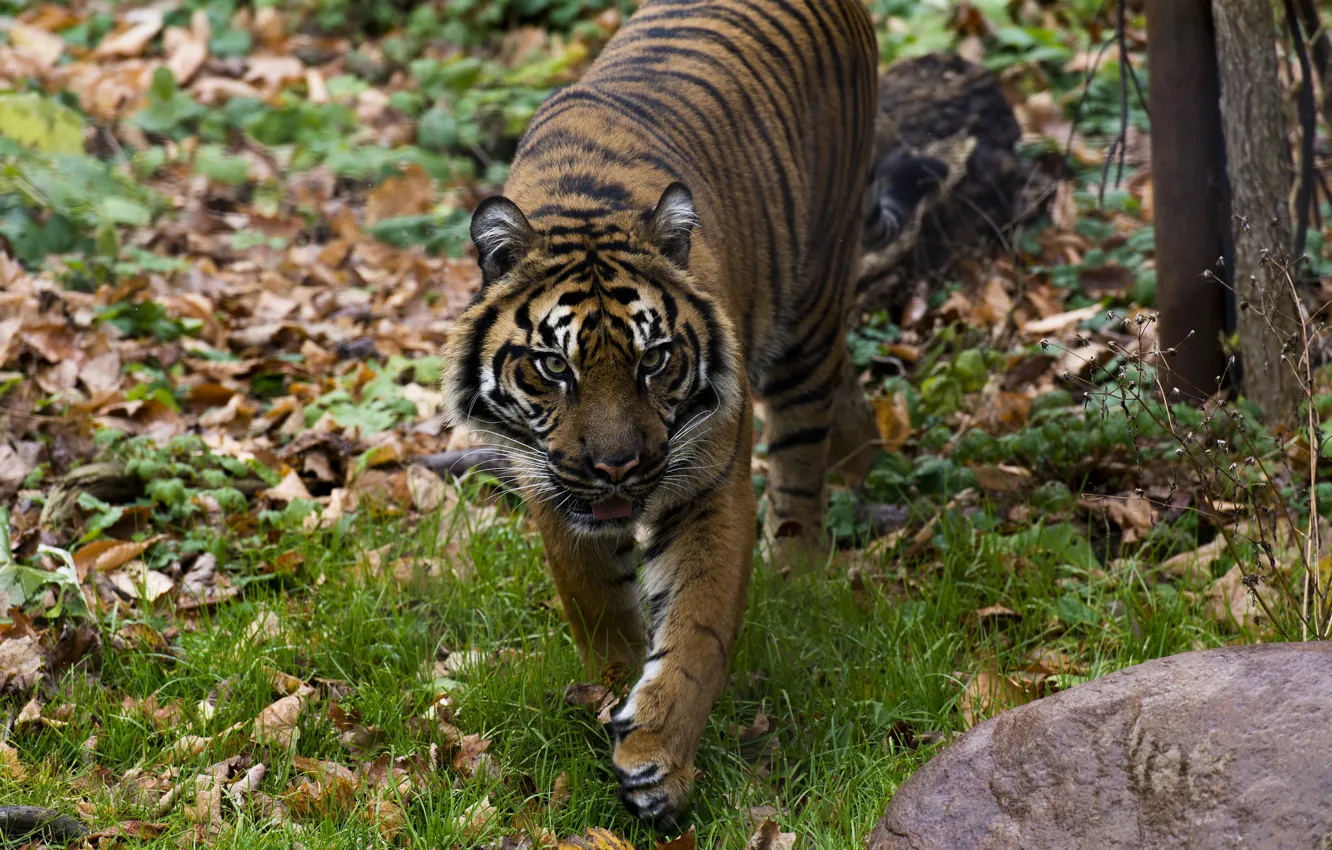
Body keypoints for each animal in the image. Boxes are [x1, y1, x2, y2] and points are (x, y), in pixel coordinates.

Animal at [441, 0, 881, 827]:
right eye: (555, 367)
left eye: (654, 360)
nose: (617, 466)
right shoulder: (552, 488)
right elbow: (599, 608)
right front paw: (612, 697)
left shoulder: (706, 483)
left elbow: (698, 627)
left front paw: (656, 758)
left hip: (813, 302)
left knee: (803, 447)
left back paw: (801, 566)